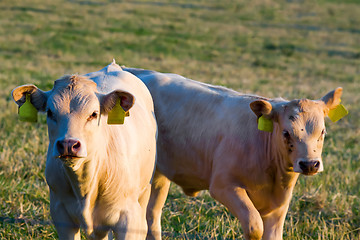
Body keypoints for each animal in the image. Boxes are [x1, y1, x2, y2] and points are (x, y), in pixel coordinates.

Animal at [124, 66, 346, 239]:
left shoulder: (279, 204)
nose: (309, 164)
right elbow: (254, 226)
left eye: (323, 131)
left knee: (152, 216)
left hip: (160, 176)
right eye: (286, 132)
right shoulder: (223, 185)